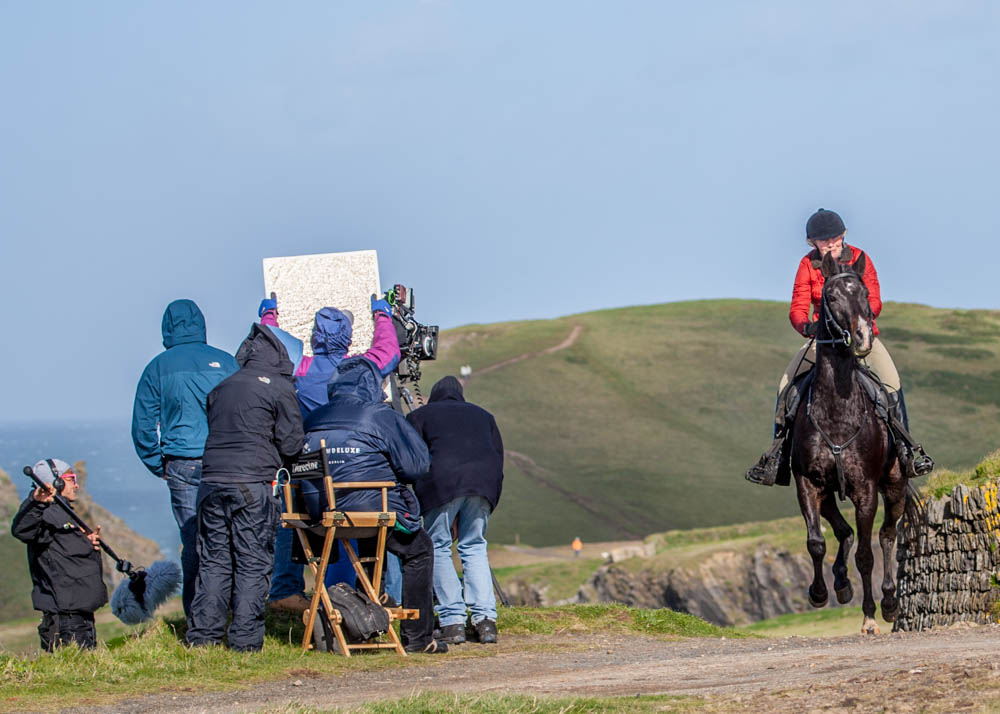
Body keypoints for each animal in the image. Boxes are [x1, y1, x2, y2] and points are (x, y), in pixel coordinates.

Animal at [792, 252, 912, 636]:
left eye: (864, 294)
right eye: (830, 297)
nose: (862, 338)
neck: (837, 411)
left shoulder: (866, 490)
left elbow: (866, 554)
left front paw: (870, 616)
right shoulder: (808, 483)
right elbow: (816, 543)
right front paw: (818, 593)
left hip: (895, 485)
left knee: (887, 535)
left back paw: (888, 603)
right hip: (829, 490)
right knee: (842, 531)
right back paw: (841, 584)